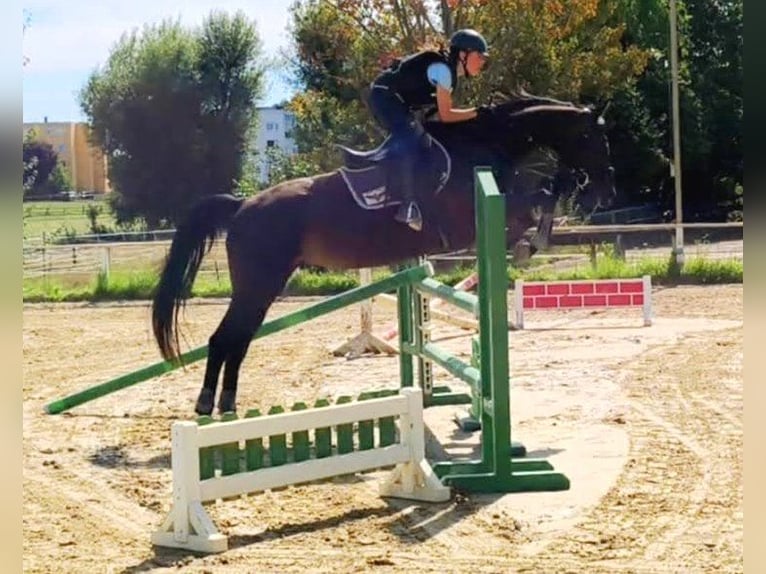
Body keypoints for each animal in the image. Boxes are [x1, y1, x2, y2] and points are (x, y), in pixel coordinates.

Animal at [151, 98, 616, 415]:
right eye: (594, 137)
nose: (607, 184)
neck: (483, 142)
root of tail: (242, 205)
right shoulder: (476, 215)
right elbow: (537, 201)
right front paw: (530, 244)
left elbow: (540, 200)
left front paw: (534, 239)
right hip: (258, 284)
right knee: (225, 339)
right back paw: (207, 403)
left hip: (261, 288)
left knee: (238, 341)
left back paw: (227, 405)